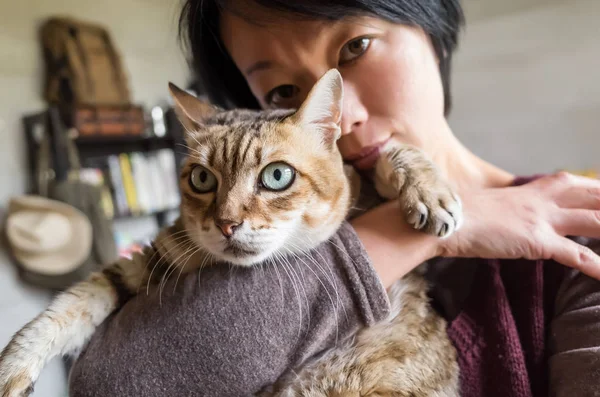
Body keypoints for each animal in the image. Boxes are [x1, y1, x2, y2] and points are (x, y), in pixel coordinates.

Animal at [0, 69, 460, 396]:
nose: (226, 222)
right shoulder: (152, 261)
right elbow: (71, 304)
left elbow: (388, 152)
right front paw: (13, 366)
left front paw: (429, 191)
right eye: (202, 178)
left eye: (277, 176)